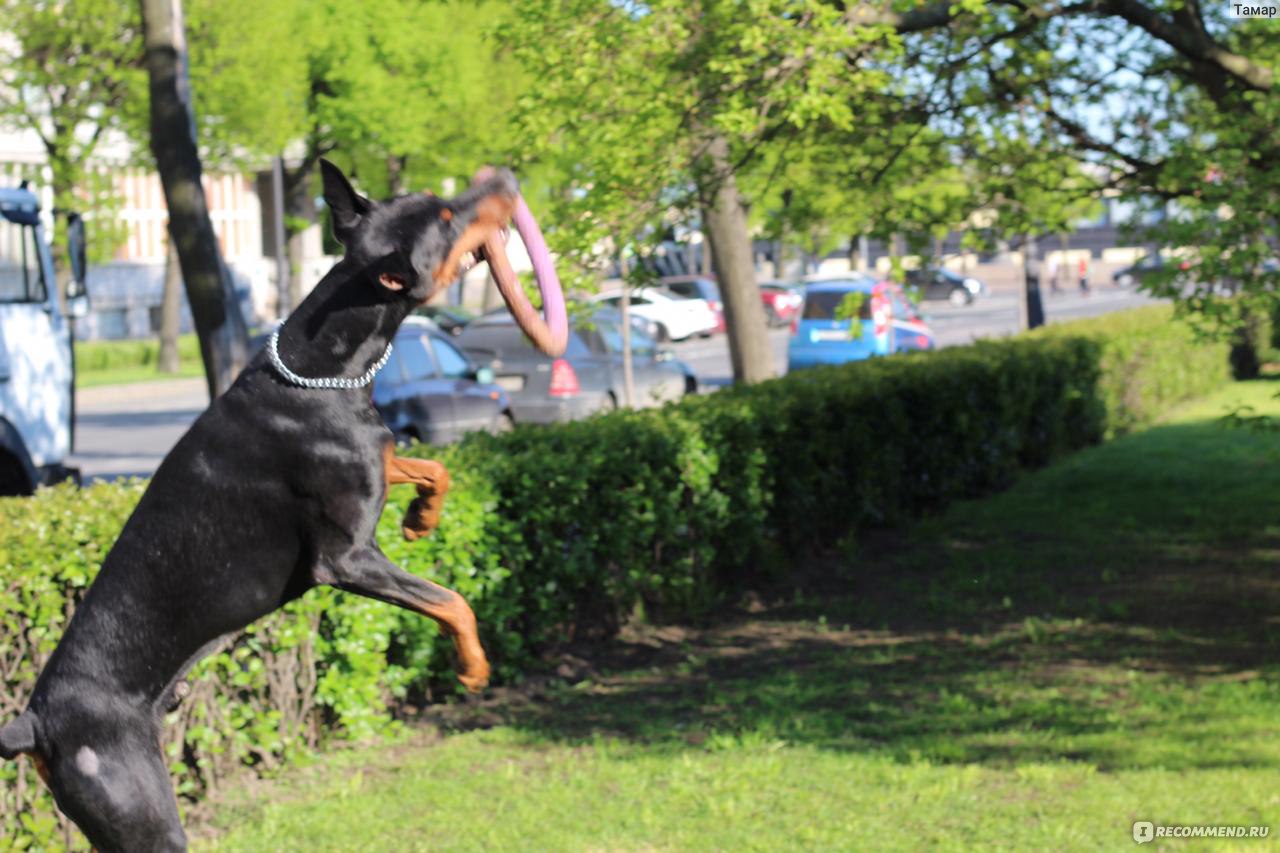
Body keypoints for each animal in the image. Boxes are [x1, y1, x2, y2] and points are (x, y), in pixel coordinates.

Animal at [0, 161, 522, 850]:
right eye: (444, 217)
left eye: (436, 199)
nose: (506, 180)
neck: (322, 367)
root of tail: (31, 723)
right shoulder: (347, 559)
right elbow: (453, 599)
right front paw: (474, 668)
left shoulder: (371, 458)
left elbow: (427, 466)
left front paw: (422, 516)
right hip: (137, 809)